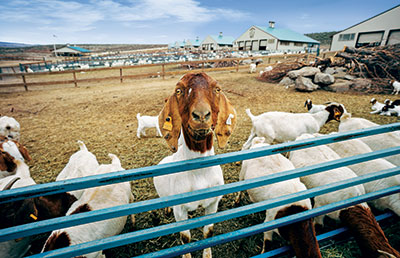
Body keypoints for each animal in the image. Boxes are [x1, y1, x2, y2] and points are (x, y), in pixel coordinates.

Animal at [152, 72, 234, 258]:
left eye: (217, 89)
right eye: (179, 90)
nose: (202, 115)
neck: (199, 175)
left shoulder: (213, 204)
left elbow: (208, 232)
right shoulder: (180, 209)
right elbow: (185, 238)